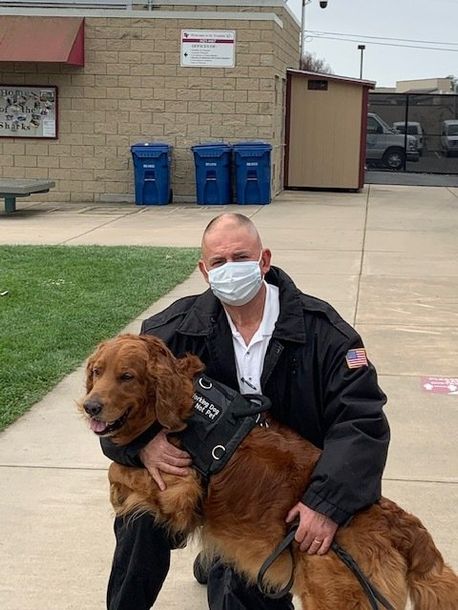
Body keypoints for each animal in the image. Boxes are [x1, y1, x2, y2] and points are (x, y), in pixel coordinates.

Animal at [82, 332, 458, 608]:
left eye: (127, 377)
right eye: (97, 372)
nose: (90, 407)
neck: (186, 410)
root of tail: (403, 526)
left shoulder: (179, 487)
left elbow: (117, 470)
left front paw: (117, 493)